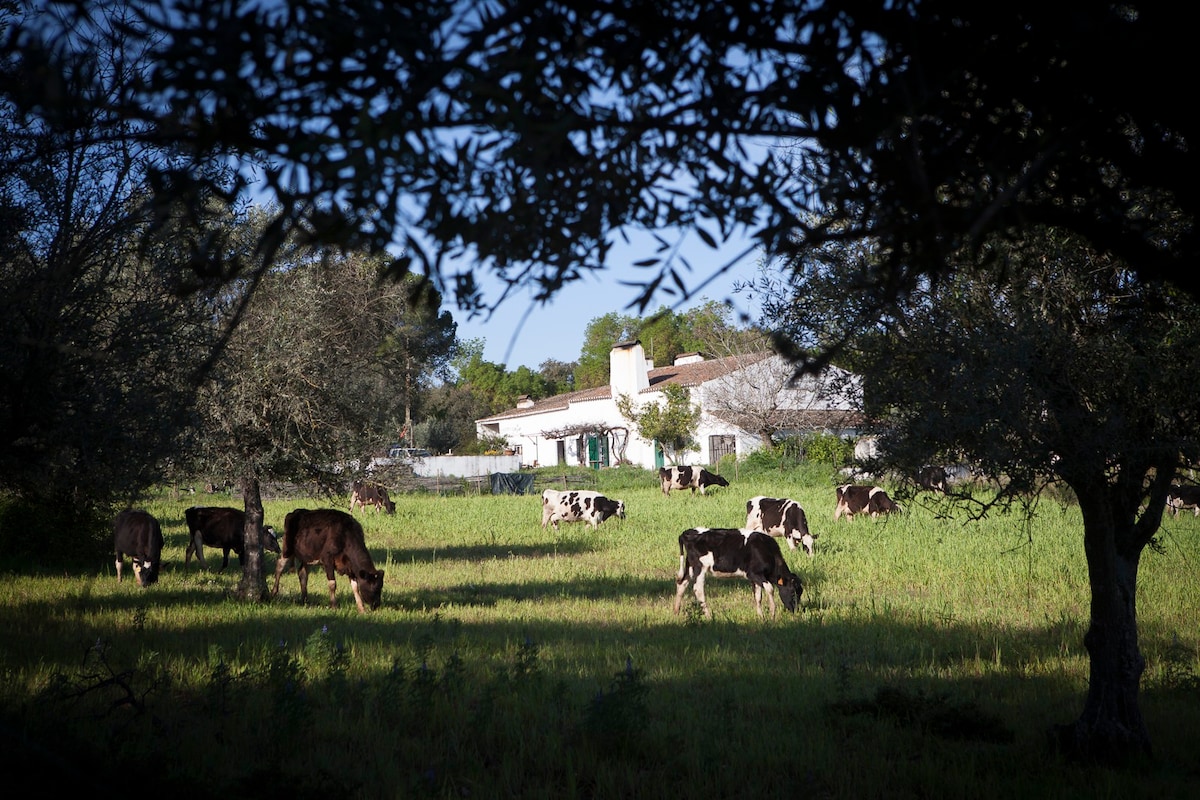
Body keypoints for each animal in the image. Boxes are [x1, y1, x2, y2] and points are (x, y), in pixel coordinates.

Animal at [672, 527, 801, 623]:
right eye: (792, 592)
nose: (796, 611)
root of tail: (688, 532)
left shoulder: (755, 578)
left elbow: (758, 596)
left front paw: (761, 617)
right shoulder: (754, 574)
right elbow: (770, 589)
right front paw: (772, 614)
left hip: (690, 566)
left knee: (682, 583)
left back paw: (676, 612)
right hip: (700, 567)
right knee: (698, 589)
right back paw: (708, 617)